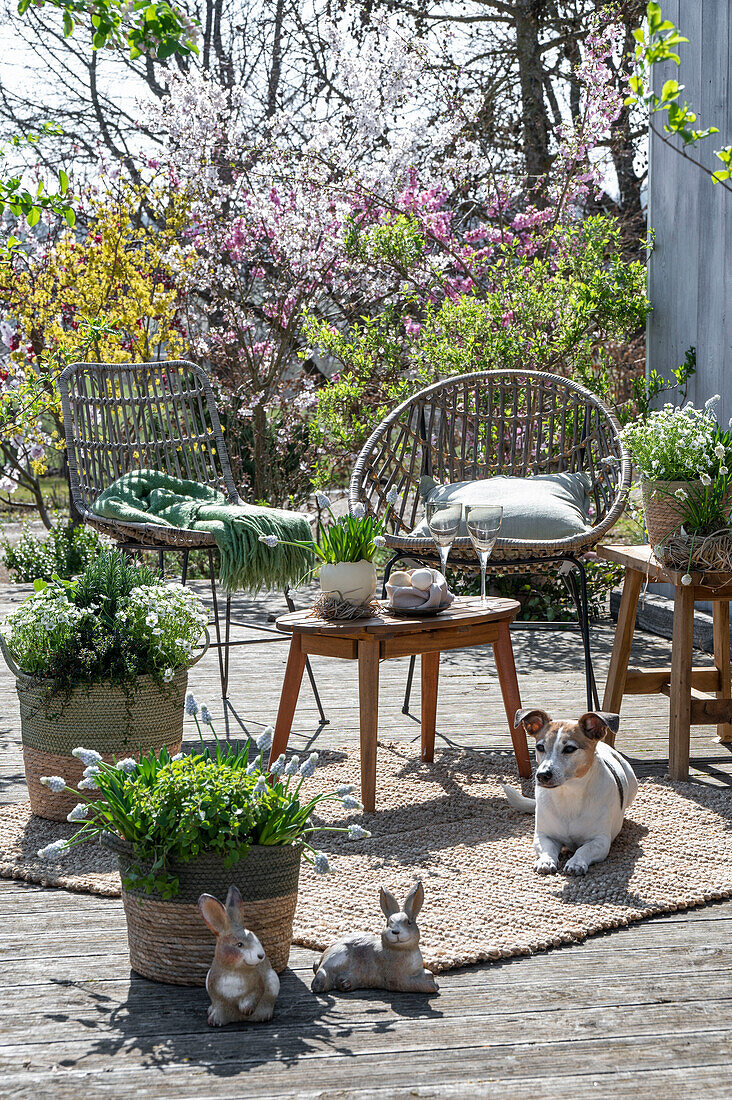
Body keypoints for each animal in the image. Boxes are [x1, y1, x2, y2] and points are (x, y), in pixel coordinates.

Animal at [501, 712, 634, 875]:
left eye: (569, 748)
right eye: (540, 747)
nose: (542, 775)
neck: (567, 794)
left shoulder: (600, 841)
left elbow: (584, 849)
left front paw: (576, 863)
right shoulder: (543, 836)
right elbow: (547, 849)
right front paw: (546, 861)